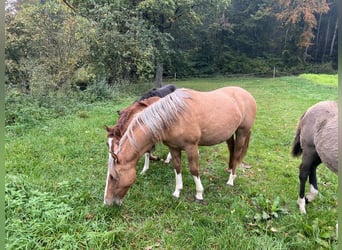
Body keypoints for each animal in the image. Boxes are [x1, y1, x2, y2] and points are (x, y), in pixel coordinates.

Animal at [104, 86, 256, 205]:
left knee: (237, 153)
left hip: (242, 132)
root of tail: (247, 94)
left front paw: (199, 193)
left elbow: (194, 169)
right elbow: (177, 168)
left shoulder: (191, 147)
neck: (173, 116)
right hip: (229, 133)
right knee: (231, 149)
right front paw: (177, 191)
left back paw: (231, 179)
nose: (107, 202)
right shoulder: (174, 147)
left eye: (112, 177)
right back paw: (229, 169)